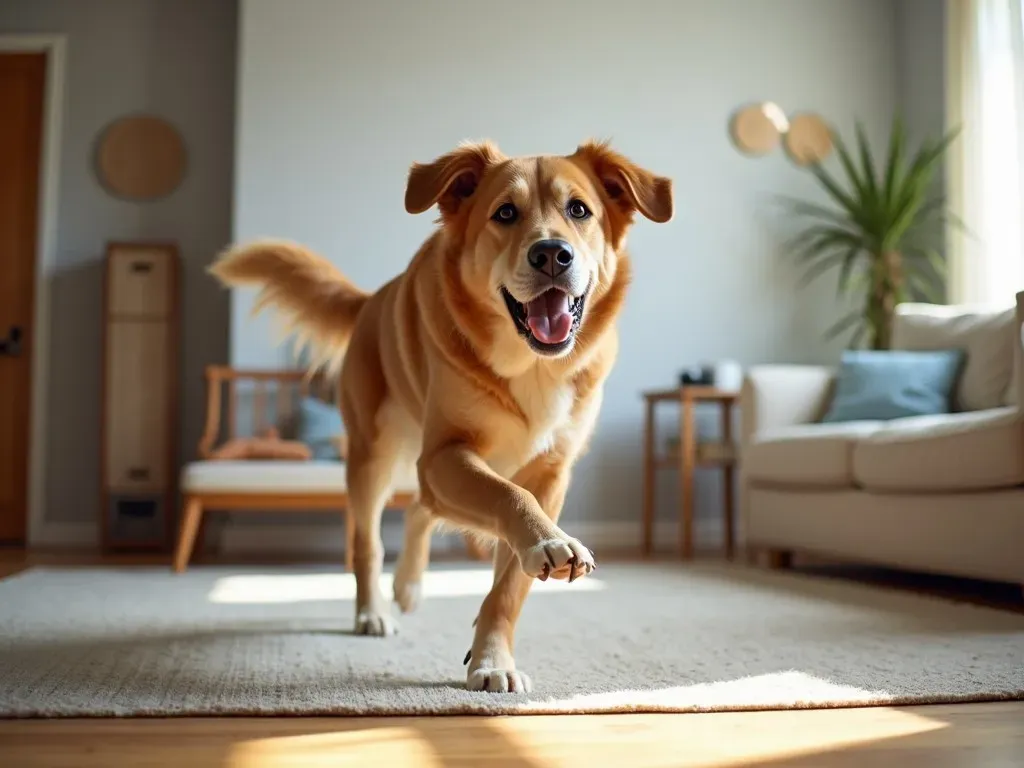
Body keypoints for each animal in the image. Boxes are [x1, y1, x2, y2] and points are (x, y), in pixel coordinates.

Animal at [209, 140, 671, 696]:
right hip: (375, 457)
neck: (530, 364)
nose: (551, 254)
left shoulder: (550, 472)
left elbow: (509, 585)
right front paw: (546, 540)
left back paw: (408, 585)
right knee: (369, 541)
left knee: (421, 507)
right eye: (505, 213)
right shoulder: (447, 452)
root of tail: (371, 301)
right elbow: (506, 496)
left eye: (579, 210)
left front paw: (493, 658)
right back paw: (373, 611)